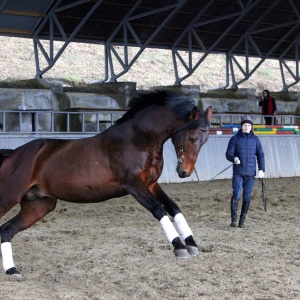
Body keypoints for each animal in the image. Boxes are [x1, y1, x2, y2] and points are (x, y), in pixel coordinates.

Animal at [0, 90, 212, 278]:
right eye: (192, 138)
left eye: (205, 141)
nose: (184, 172)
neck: (137, 139)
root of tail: (11, 155)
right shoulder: (133, 185)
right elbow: (159, 209)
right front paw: (179, 246)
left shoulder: (151, 184)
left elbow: (173, 207)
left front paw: (191, 243)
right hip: (9, 197)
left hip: (39, 206)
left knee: (6, 231)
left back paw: (12, 271)